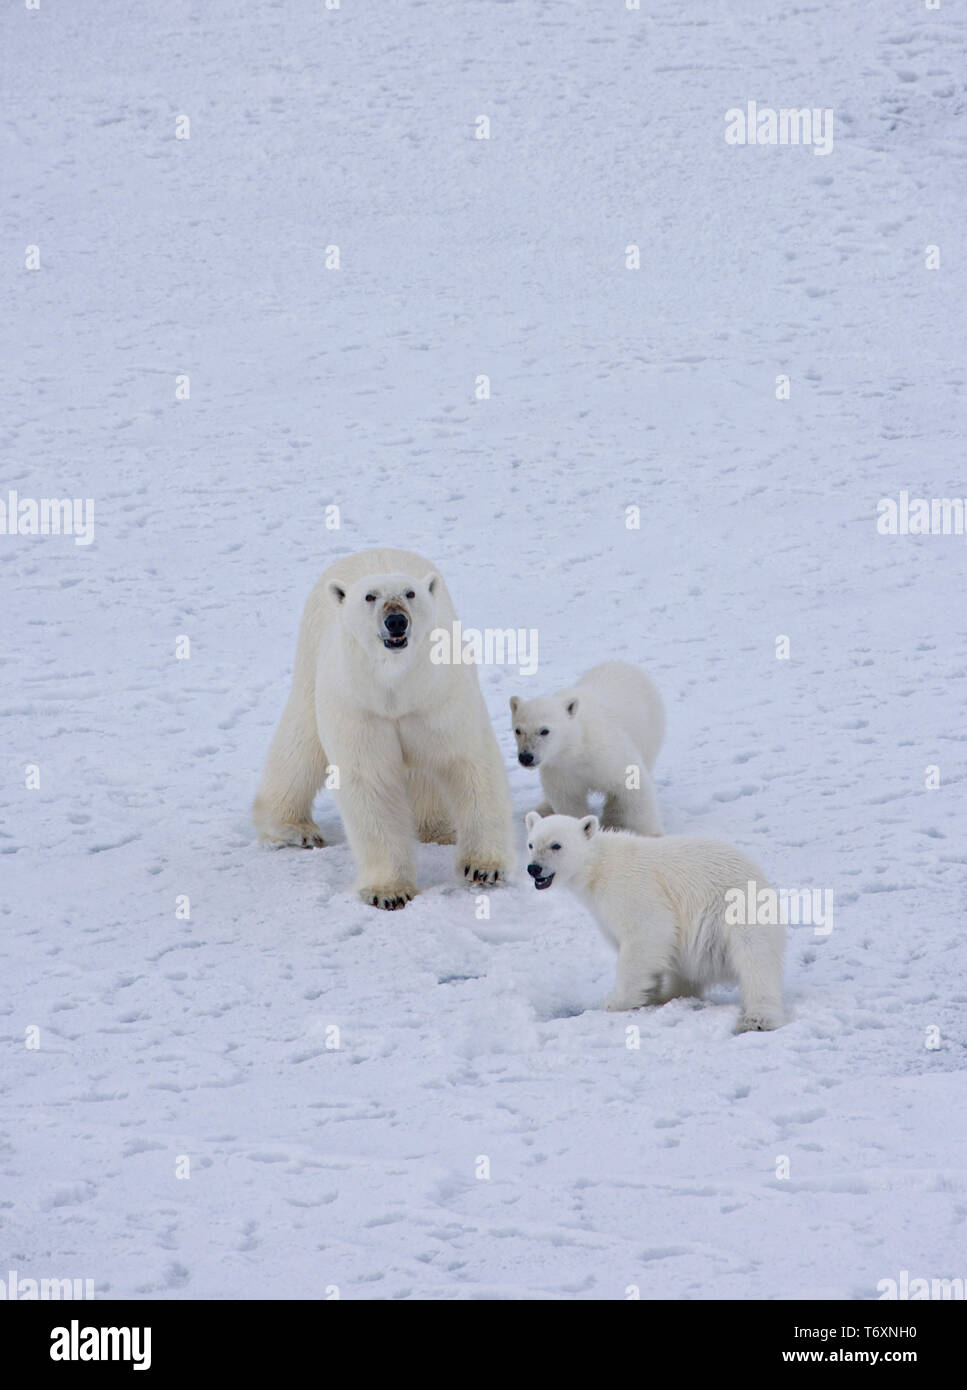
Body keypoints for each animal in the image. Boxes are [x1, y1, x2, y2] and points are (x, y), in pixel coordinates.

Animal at [253, 548, 515, 909]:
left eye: (410, 593)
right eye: (370, 596)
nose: (396, 621)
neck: (395, 689)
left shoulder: (437, 698)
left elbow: (468, 761)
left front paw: (483, 867)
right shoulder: (361, 708)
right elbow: (370, 781)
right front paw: (389, 891)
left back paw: (438, 829)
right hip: (314, 660)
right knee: (301, 741)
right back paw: (294, 829)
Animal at [510, 661, 664, 836]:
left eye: (544, 730)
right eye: (518, 730)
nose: (526, 757)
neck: (577, 746)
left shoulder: (607, 752)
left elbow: (632, 783)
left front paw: (650, 833)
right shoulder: (559, 769)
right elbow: (568, 800)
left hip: (650, 730)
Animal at [524, 812, 786, 1032]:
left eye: (556, 845)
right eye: (531, 844)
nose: (533, 868)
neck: (598, 867)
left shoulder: (631, 890)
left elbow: (647, 932)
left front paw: (616, 1001)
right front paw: (649, 994)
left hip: (736, 909)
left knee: (755, 957)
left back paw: (758, 1017)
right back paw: (670, 995)